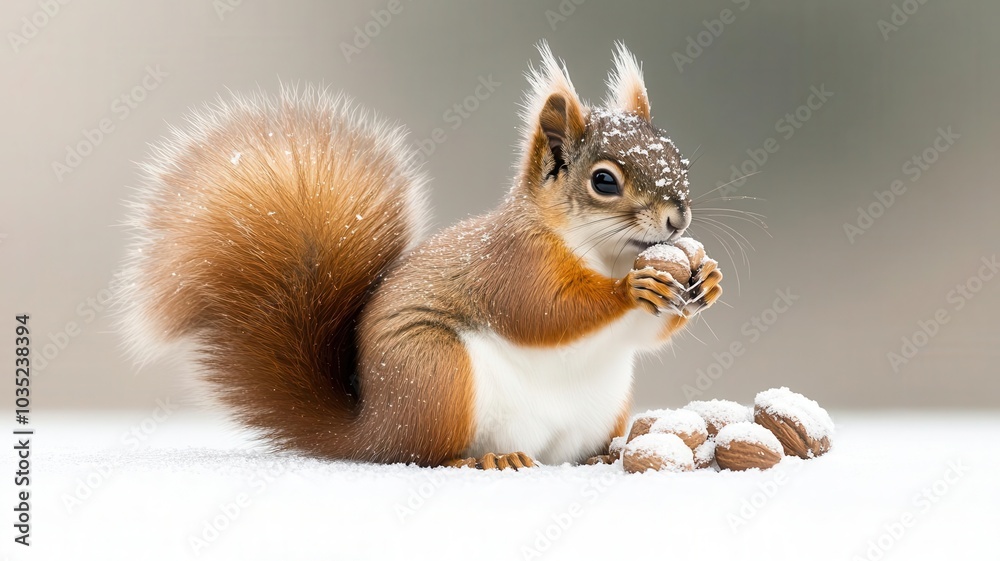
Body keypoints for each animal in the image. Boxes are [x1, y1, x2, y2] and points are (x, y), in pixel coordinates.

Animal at [118, 42, 723, 470]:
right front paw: (630, 290)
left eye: (678, 159)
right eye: (603, 181)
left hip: (603, 404)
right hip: (437, 373)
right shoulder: (511, 264)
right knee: (424, 453)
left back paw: (599, 456)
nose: (678, 219)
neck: (606, 254)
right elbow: (542, 312)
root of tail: (372, 431)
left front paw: (708, 279)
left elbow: (647, 331)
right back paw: (482, 459)